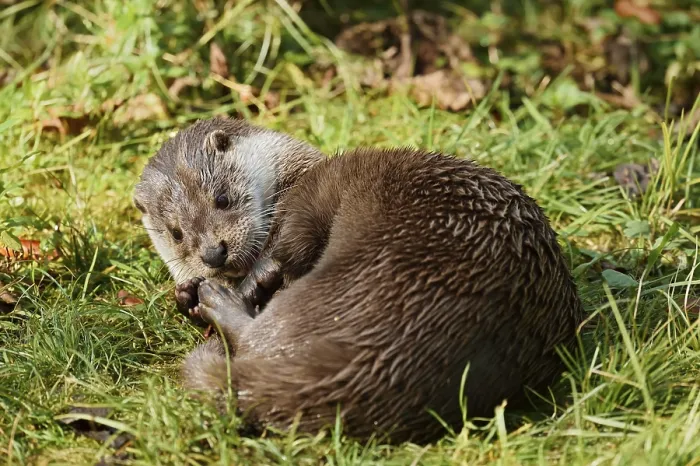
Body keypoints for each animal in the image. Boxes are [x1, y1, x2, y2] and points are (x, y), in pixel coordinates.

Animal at [134, 117, 584, 444]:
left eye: (222, 198)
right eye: (176, 233)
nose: (213, 254)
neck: (290, 177)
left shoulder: (302, 202)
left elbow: (286, 245)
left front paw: (245, 280)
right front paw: (187, 291)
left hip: (342, 286)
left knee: (255, 336)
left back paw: (219, 299)